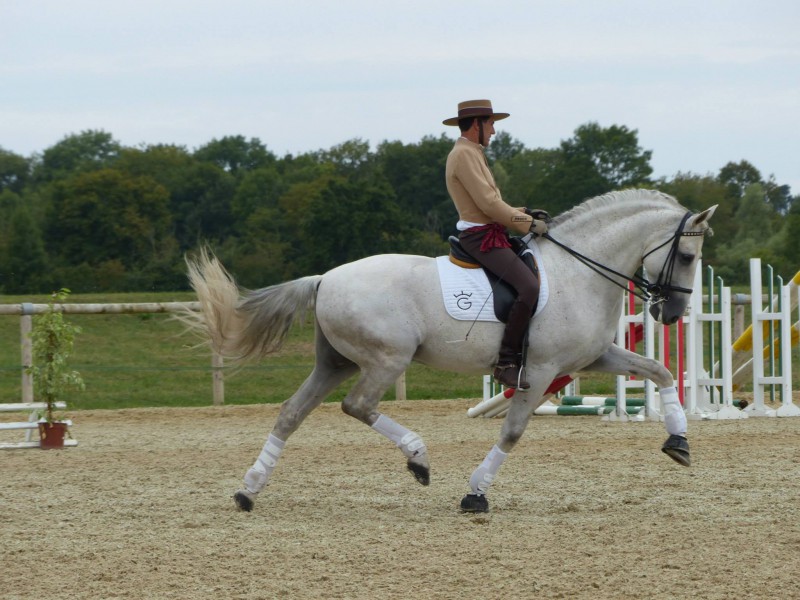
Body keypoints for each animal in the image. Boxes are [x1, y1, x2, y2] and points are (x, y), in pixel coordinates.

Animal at [184, 190, 716, 512]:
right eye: (688, 256)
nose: (671, 314)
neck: (578, 271)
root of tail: (325, 278)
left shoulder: (591, 357)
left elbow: (658, 370)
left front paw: (679, 442)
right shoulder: (541, 369)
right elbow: (513, 431)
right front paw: (476, 492)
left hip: (336, 362)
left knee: (291, 413)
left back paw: (249, 489)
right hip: (385, 360)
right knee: (358, 405)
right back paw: (418, 458)